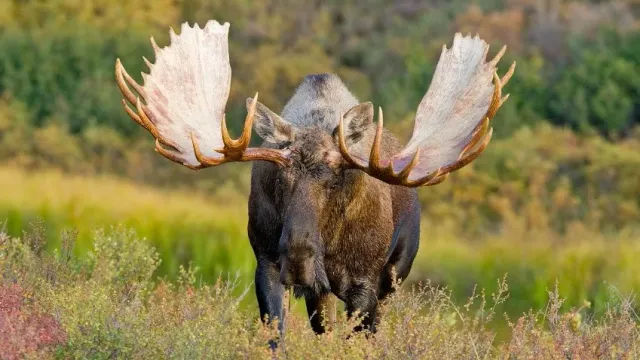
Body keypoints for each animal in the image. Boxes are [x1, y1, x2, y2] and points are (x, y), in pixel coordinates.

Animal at [115, 19, 516, 334]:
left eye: (336, 179)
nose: (299, 258)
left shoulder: (365, 283)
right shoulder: (267, 265)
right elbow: (278, 335)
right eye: (280, 177)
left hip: (395, 275)